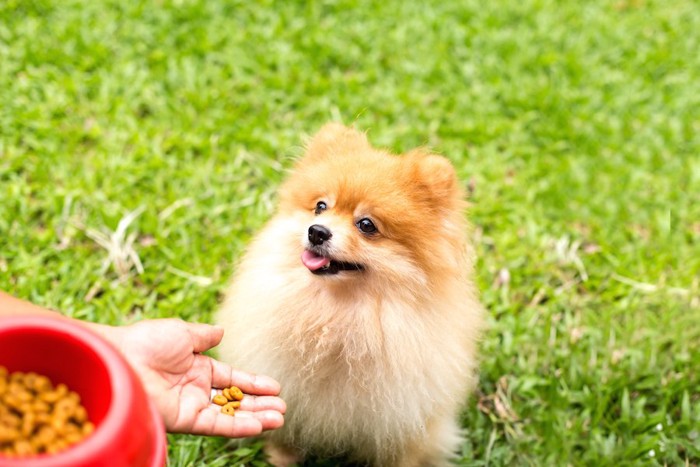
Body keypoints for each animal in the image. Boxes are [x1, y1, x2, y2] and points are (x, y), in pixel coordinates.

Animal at [216, 124, 484, 467]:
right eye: (321, 206)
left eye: (366, 225)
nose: (316, 231)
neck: (339, 314)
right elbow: (284, 437)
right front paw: (280, 459)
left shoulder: (406, 421)